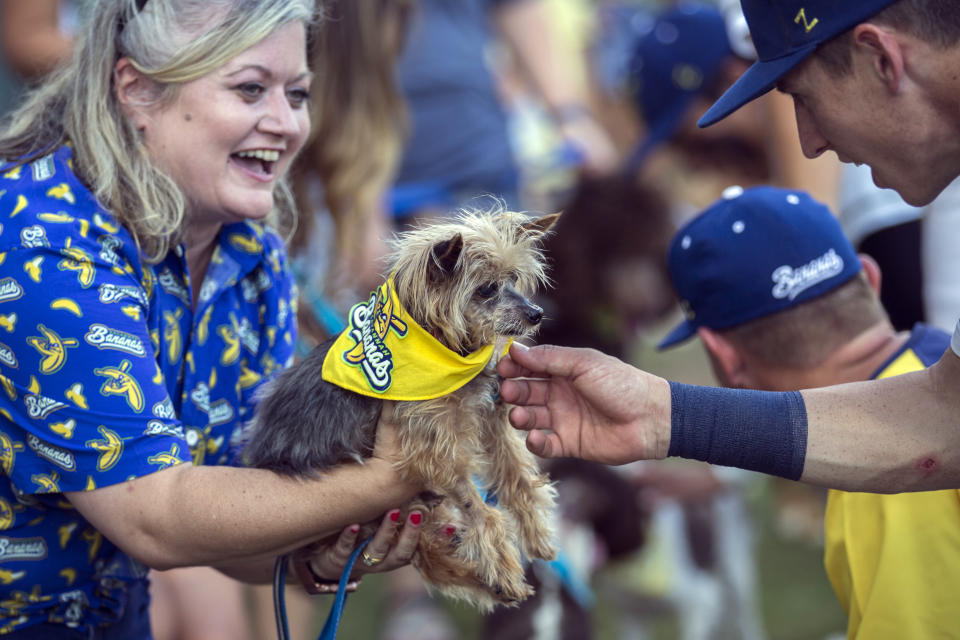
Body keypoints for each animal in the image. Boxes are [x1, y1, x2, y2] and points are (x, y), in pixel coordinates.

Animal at [244, 209, 560, 608]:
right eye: (487, 288)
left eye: (514, 278)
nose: (536, 314)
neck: (444, 349)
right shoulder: (437, 450)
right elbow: (478, 508)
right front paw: (502, 561)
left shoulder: (489, 418)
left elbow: (517, 476)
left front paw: (537, 534)